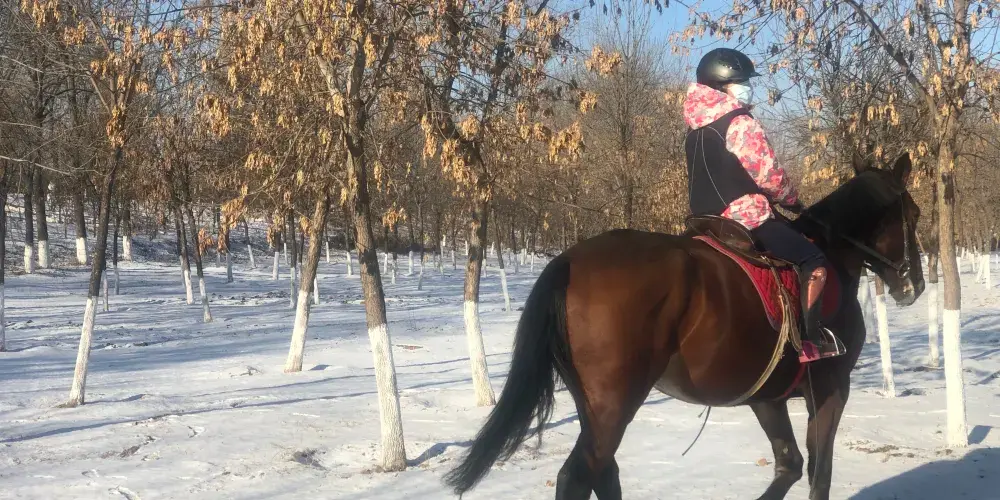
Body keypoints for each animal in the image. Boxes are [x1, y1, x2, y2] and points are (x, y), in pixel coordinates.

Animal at [443, 152, 924, 500]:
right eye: (915, 214)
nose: (914, 285)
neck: (829, 254)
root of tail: (569, 261)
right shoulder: (830, 386)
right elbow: (818, 474)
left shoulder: (766, 395)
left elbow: (789, 465)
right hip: (614, 404)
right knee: (579, 476)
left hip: (595, 407)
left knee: (604, 472)